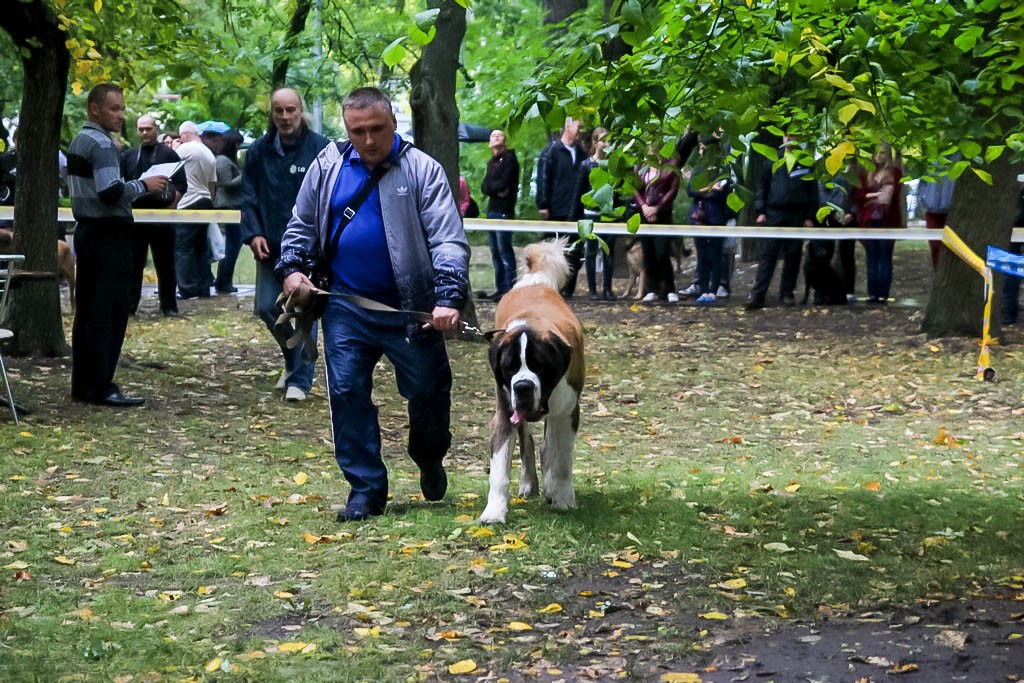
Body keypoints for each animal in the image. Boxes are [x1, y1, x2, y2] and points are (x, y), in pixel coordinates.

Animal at [479, 240, 585, 524]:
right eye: (509, 367)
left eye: (540, 365)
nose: (523, 386)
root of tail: (534, 281)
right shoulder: (505, 412)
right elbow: (499, 470)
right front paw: (493, 511)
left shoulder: (568, 412)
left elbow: (562, 462)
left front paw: (562, 498)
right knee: (527, 442)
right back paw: (529, 483)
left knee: (550, 448)